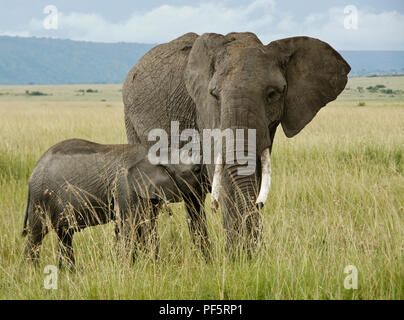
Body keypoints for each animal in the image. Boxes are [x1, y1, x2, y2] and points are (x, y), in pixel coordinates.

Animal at [21, 139, 201, 266]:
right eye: (196, 170)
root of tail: (33, 173)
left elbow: (148, 226)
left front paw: (152, 267)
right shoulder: (125, 187)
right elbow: (130, 227)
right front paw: (128, 269)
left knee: (64, 235)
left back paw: (69, 274)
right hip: (41, 198)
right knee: (37, 235)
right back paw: (31, 273)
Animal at [122, 31, 350, 254]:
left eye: (272, 94)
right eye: (214, 95)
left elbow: (255, 177)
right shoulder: (205, 114)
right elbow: (225, 178)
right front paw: (239, 258)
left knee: (193, 201)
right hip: (131, 122)